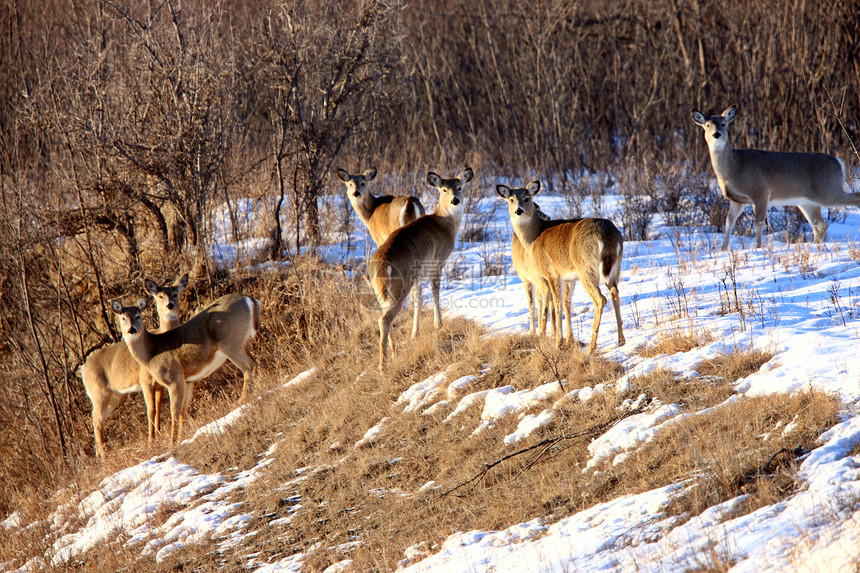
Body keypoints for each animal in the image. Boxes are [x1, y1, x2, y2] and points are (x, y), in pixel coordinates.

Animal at [82, 272, 188, 460]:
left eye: (176, 293)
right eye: (160, 295)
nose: (170, 306)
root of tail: (83, 368)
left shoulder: (159, 384)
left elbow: (158, 408)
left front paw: (158, 435)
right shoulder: (145, 379)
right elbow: (151, 410)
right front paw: (151, 442)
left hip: (115, 396)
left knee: (96, 419)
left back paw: (99, 455)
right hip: (99, 392)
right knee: (96, 420)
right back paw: (104, 457)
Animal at [111, 290, 260, 446]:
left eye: (138, 316)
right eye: (123, 318)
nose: (131, 330)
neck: (151, 354)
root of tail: (250, 299)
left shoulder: (174, 378)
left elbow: (174, 412)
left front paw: (172, 442)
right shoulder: (187, 381)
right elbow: (183, 411)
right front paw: (182, 438)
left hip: (229, 341)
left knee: (248, 367)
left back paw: (241, 402)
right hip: (242, 342)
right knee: (254, 363)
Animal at [368, 166, 474, 370]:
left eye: (460, 187)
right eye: (444, 189)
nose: (455, 200)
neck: (445, 225)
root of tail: (380, 266)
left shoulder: (418, 275)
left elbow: (418, 301)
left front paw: (414, 334)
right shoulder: (437, 261)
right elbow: (435, 293)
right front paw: (438, 325)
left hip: (381, 291)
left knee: (385, 316)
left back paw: (394, 352)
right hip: (399, 286)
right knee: (384, 319)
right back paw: (383, 365)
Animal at [498, 181, 624, 350]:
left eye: (527, 198)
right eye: (510, 200)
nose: (519, 210)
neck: (533, 239)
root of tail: (607, 234)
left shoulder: (551, 274)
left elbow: (555, 305)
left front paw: (558, 342)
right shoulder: (570, 278)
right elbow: (566, 303)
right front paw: (569, 340)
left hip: (586, 268)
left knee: (600, 299)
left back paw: (591, 348)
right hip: (615, 267)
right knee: (614, 292)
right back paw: (621, 340)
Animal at [692, 106, 860, 249]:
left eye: (723, 124)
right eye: (707, 125)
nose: (716, 134)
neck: (734, 167)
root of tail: (838, 162)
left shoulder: (760, 192)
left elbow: (758, 224)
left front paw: (758, 248)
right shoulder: (736, 200)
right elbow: (729, 222)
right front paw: (723, 249)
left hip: (828, 191)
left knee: (855, 198)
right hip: (806, 201)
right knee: (820, 225)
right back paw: (813, 245)